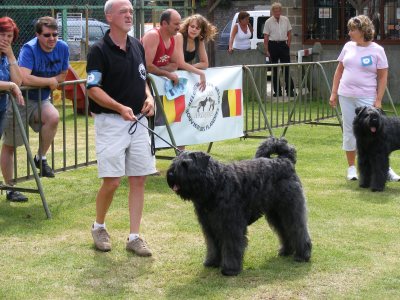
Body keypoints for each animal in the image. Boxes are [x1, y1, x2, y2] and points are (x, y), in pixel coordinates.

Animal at [166, 137, 312, 276]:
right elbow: (213, 245)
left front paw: (230, 270)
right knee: (284, 230)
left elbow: (231, 246)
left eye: (185, 164)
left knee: (298, 229)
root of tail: (286, 160)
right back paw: (286, 251)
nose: (171, 174)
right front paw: (212, 262)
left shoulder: (230, 225)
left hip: (290, 209)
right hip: (276, 213)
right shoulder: (209, 225)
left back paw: (302, 255)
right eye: (175, 162)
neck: (216, 183)